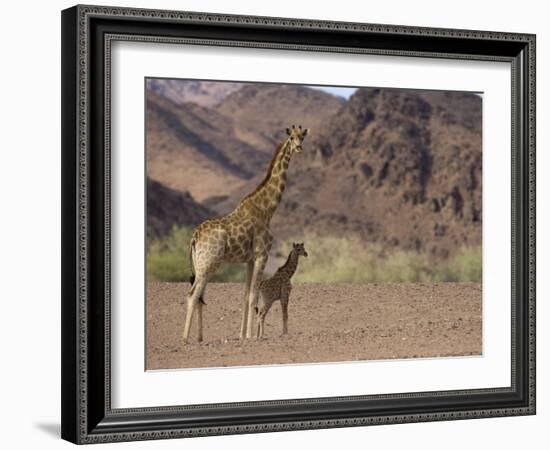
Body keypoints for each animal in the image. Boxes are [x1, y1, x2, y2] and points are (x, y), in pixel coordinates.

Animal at [182, 125, 308, 342]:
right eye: (291, 137)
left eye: (302, 137)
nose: (299, 148)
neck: (267, 209)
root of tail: (194, 238)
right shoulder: (261, 255)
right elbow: (253, 296)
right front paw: (250, 336)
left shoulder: (249, 260)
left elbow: (245, 295)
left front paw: (241, 335)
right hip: (209, 263)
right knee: (192, 295)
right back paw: (185, 338)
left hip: (201, 264)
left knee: (198, 296)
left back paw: (200, 337)